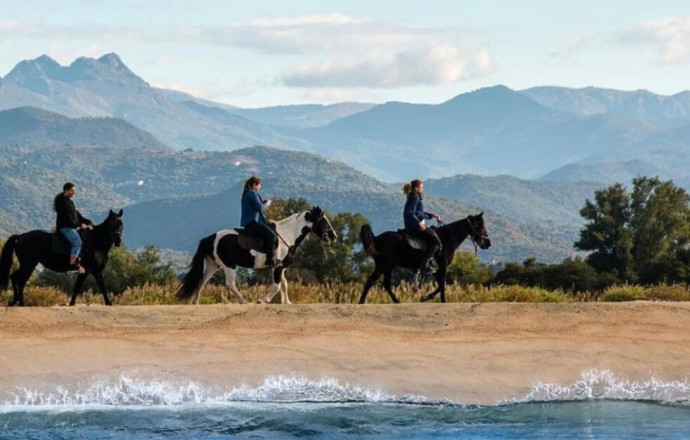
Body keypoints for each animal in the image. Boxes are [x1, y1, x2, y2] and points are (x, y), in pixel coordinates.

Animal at [176, 206, 337, 305]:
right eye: (323, 221)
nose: (333, 236)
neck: (287, 235)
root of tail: (210, 238)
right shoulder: (277, 267)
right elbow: (277, 286)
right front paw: (263, 300)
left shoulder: (282, 267)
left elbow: (284, 284)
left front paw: (287, 302)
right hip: (228, 265)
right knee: (230, 283)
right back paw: (242, 301)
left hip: (213, 265)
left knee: (201, 282)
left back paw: (195, 303)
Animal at [358, 212, 491, 304]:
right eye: (479, 225)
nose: (487, 243)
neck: (447, 238)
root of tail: (377, 238)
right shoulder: (442, 267)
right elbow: (442, 285)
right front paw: (439, 300)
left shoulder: (436, 270)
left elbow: (441, 285)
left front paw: (426, 297)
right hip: (383, 265)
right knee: (371, 280)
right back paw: (361, 302)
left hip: (388, 267)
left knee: (386, 284)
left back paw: (397, 302)